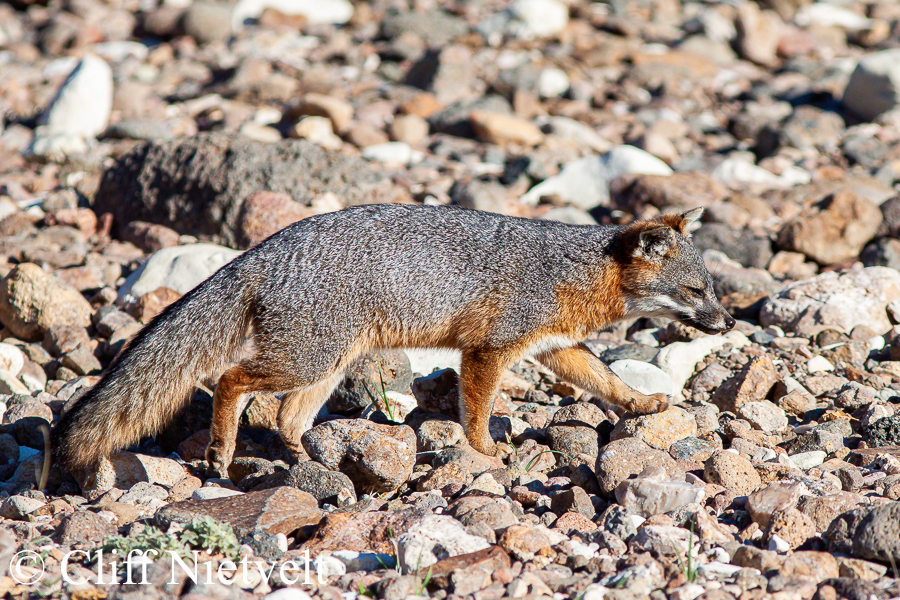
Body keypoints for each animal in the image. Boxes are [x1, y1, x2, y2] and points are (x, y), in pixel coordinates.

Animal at [52, 203, 736, 478]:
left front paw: (643, 403)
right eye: (696, 291)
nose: (730, 324)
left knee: (286, 417)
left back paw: (310, 465)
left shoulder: (554, 346)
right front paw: (487, 452)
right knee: (231, 380)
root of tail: (263, 249)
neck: (573, 270)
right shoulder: (488, 350)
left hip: (325, 367)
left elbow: (608, 381)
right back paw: (222, 451)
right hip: (308, 359)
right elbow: (476, 409)